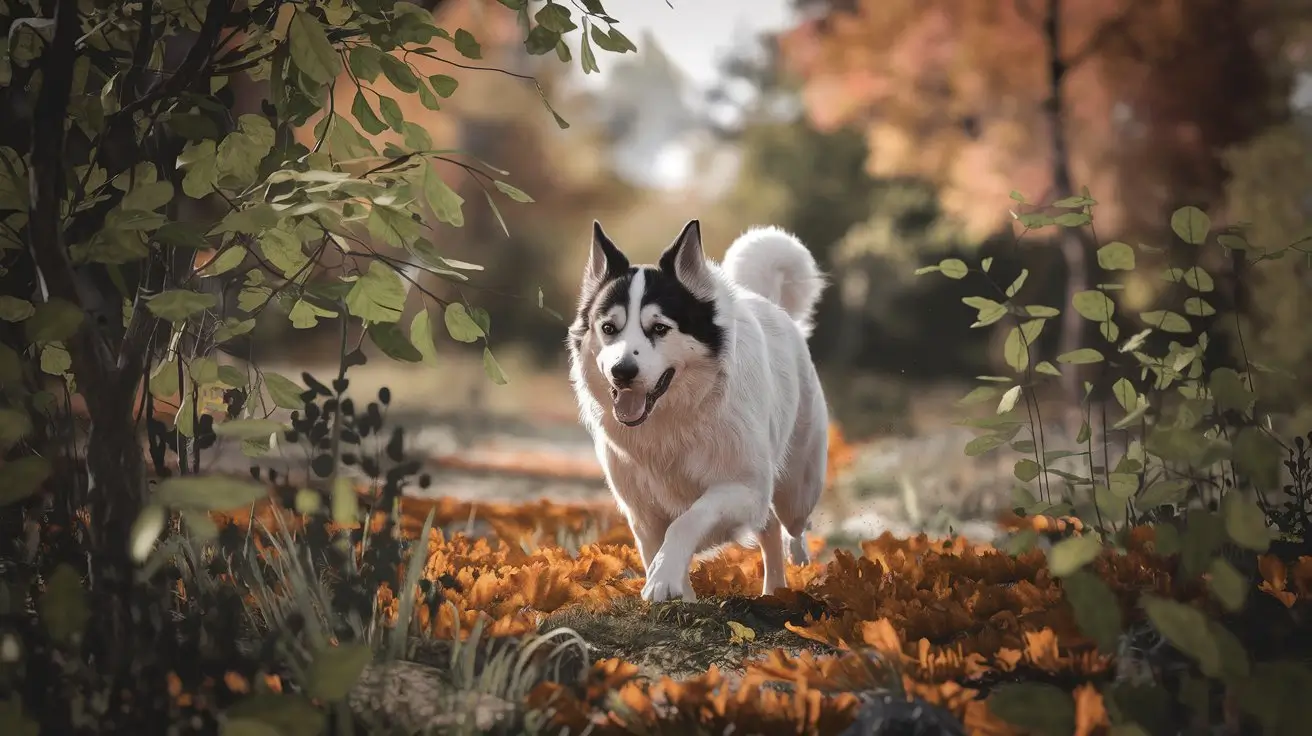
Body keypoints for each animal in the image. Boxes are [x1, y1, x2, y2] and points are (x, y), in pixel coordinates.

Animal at [566, 217, 829, 603]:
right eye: (609, 328)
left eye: (660, 328)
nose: (622, 371)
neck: (672, 417)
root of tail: (768, 304)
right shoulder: (642, 512)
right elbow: (659, 541)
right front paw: (677, 592)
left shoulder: (743, 487)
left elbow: (688, 519)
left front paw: (662, 580)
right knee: (768, 527)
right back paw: (773, 591)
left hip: (797, 487)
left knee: (790, 523)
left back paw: (797, 558)